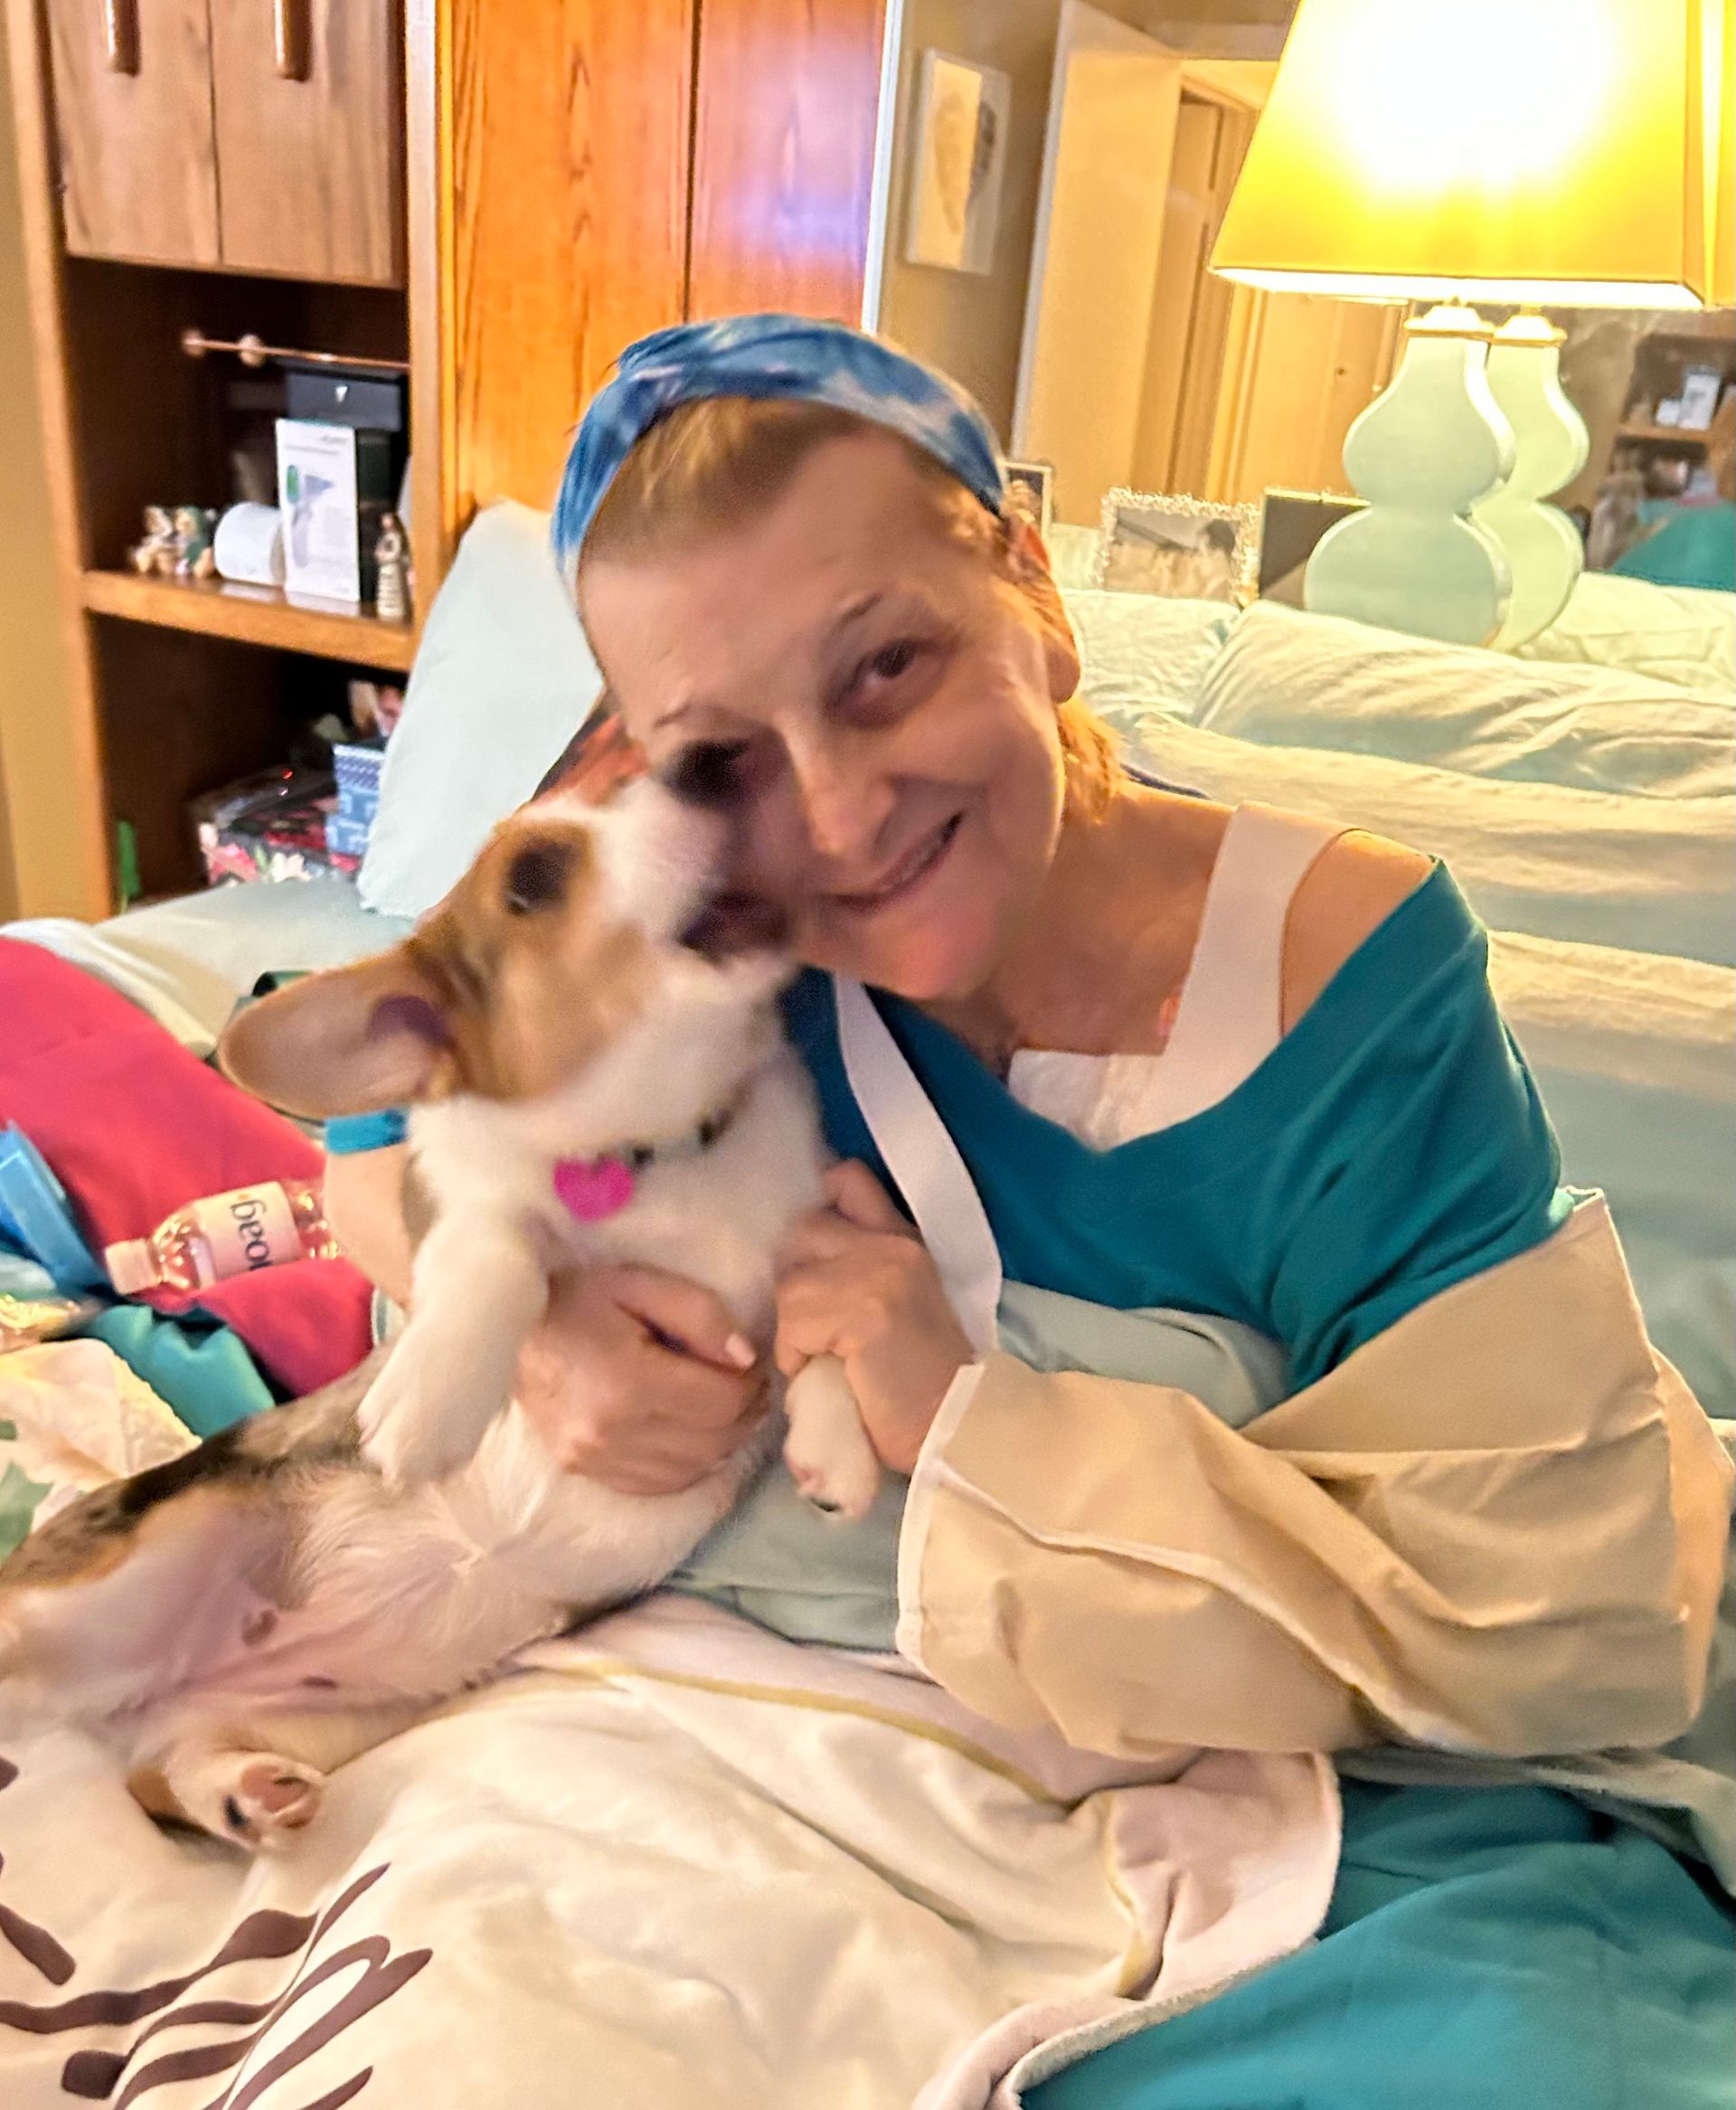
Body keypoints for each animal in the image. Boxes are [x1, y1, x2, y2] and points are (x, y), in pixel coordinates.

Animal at [0, 781, 882, 1851]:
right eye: (532, 878)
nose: (715, 765)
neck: (665, 1150)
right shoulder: (469, 1205)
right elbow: (500, 1259)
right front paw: (430, 1405)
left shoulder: (805, 1235)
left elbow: (816, 1326)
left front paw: (837, 1449)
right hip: (97, 1590)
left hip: (318, 1717)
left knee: (163, 1771)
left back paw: (245, 1791)